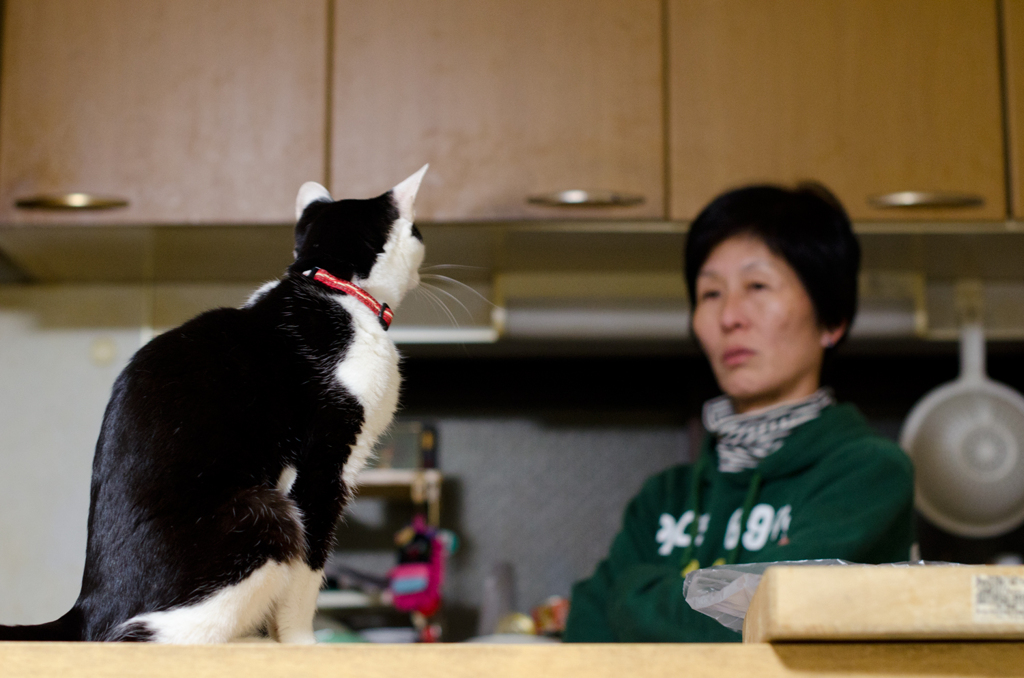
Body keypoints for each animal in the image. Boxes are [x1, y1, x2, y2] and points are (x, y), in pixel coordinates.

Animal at [0, 166, 428, 647]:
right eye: (417, 231)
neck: (334, 288)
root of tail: (86, 606)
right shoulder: (325, 460)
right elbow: (308, 568)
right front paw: (301, 642)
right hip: (265, 516)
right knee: (141, 635)